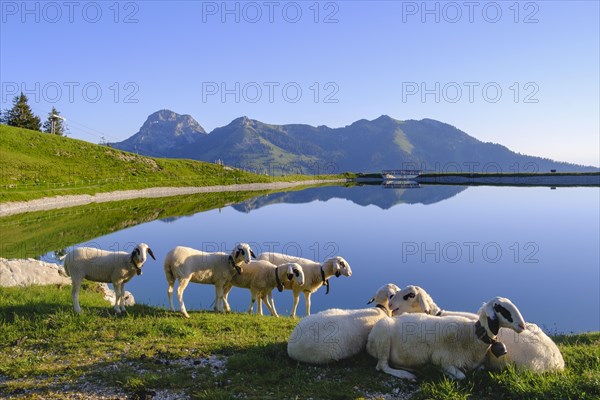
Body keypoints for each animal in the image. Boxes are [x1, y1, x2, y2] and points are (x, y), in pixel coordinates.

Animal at [368, 296, 528, 380]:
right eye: (501, 309)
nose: (522, 326)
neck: (472, 335)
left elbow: (480, 369)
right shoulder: (442, 359)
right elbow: (461, 376)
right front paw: (444, 373)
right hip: (383, 337)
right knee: (382, 366)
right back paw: (406, 375)